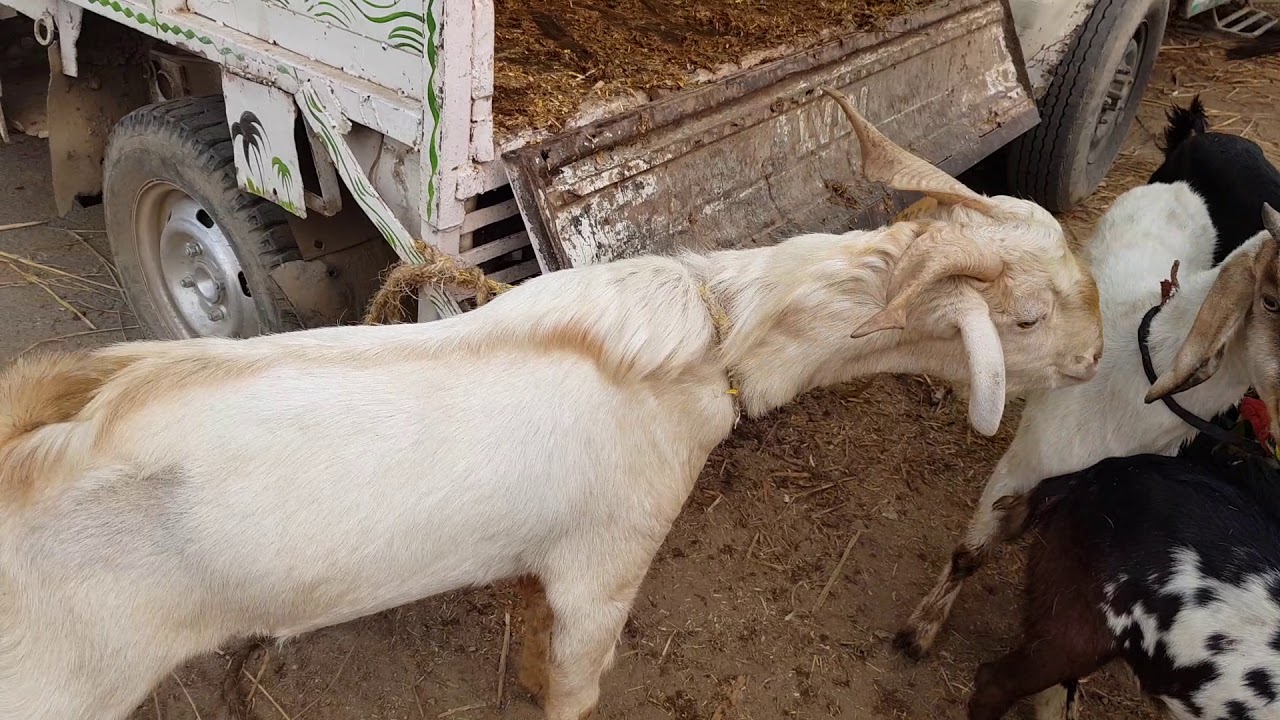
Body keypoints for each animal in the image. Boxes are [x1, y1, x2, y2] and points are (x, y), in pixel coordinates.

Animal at [0, 87, 1103, 720]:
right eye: (1025, 317)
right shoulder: (603, 565)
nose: (1098, 357)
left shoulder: (544, 562)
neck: (702, 344)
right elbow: (576, 686)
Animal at [894, 181, 1280, 674]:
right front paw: (919, 633)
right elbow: (970, 555)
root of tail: (1177, 188)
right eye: (1271, 300)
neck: (1135, 379)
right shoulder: (1022, 464)